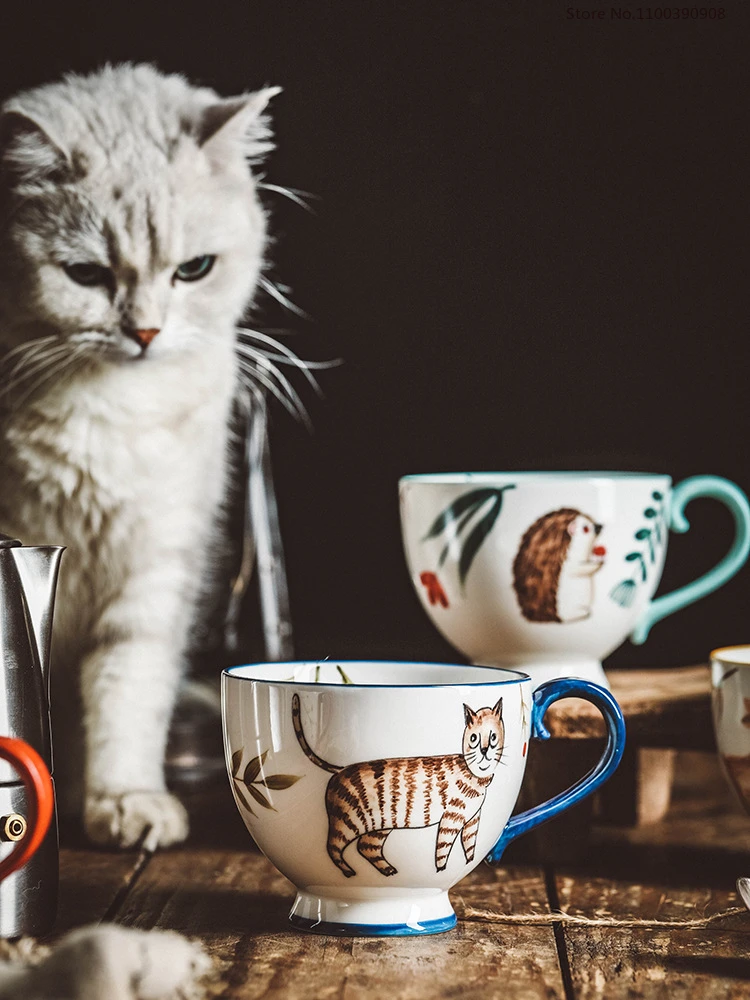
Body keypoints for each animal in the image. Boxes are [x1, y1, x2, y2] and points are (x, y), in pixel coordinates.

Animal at [0, 64, 280, 844]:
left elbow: (129, 691)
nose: (147, 332)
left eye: (195, 269)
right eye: (86, 275)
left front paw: (123, 798)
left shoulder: (155, 568)